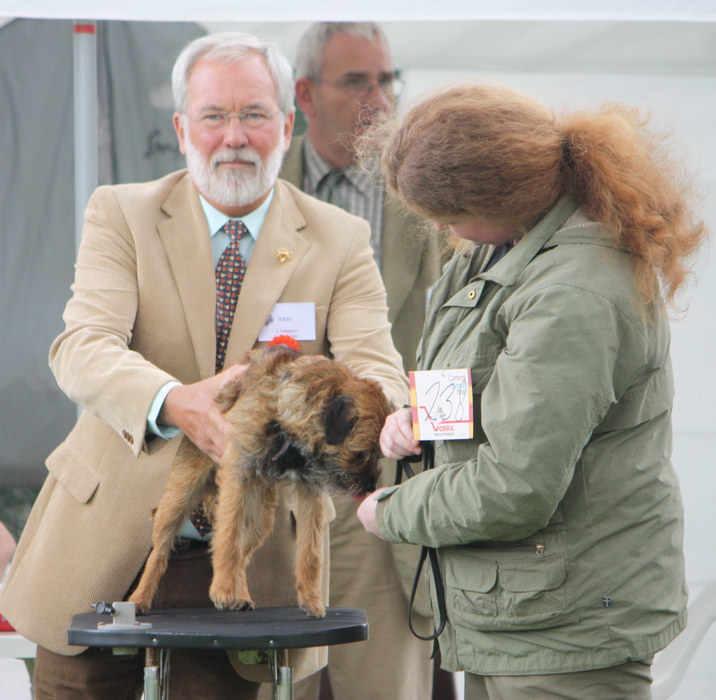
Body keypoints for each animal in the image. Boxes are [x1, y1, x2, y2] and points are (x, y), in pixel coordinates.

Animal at [128, 343, 390, 617]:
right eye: (360, 455)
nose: (370, 487)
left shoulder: (310, 493)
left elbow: (310, 551)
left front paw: (311, 599)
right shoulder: (237, 473)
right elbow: (228, 537)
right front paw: (222, 589)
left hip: (259, 520)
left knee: (242, 556)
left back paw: (241, 595)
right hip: (178, 500)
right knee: (160, 552)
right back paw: (140, 598)